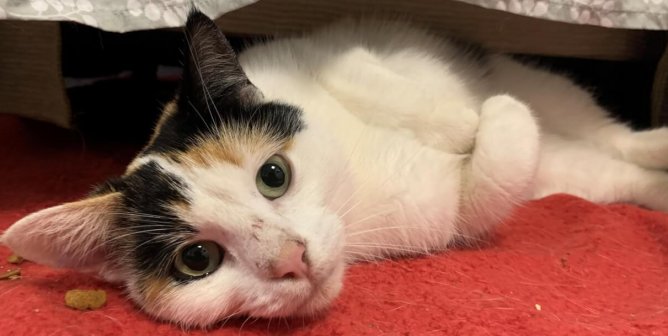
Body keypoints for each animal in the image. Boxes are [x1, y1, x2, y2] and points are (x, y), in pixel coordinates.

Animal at [1, 11, 668, 328]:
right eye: (197, 259)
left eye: (273, 175)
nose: (292, 258)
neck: (360, 183)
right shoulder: (447, 219)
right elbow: (494, 179)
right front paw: (496, 121)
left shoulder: (327, 56)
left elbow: (360, 68)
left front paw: (467, 117)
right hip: (573, 173)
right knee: (605, 167)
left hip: (551, 89)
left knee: (612, 135)